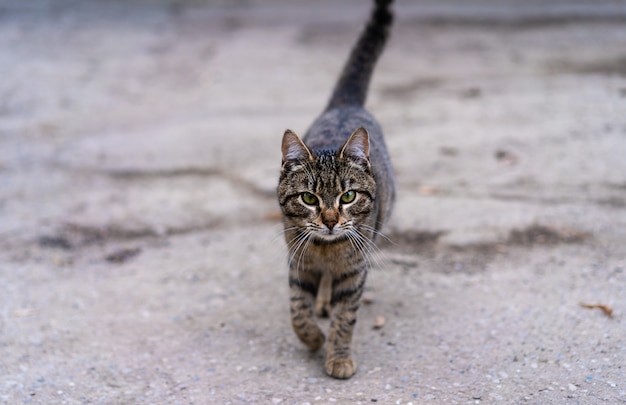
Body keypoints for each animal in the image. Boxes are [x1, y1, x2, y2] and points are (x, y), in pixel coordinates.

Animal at [276, 0, 392, 378]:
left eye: (348, 196)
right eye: (309, 198)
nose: (329, 221)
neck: (326, 252)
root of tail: (344, 104)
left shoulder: (354, 272)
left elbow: (345, 319)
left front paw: (338, 356)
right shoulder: (298, 262)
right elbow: (298, 310)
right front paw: (312, 337)